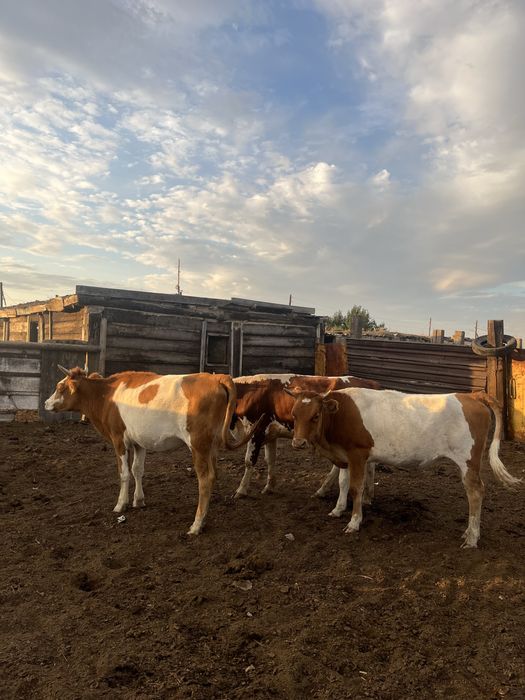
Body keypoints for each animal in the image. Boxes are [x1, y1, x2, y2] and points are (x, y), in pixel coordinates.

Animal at [45, 367, 260, 535]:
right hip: (212, 445)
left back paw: (196, 525)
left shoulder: (118, 439)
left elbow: (124, 473)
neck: (106, 394)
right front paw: (138, 500)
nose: (46, 403)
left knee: (205, 478)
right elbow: (137, 470)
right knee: (213, 475)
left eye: (60, 387)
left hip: (198, 444)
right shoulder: (139, 442)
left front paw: (120, 504)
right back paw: (204, 519)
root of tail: (216, 377)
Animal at [232, 374, 380, 505]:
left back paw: (324, 491)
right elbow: (270, 460)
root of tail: (369, 383)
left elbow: (249, 461)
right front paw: (269, 486)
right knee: (369, 464)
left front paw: (241, 490)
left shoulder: (256, 431)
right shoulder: (270, 433)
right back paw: (367, 496)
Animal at [287, 387, 521, 547]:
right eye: (294, 414)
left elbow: (356, 488)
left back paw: (472, 537)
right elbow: (343, 483)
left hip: (468, 460)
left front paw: (354, 522)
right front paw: (337, 509)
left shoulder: (358, 454)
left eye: (315, 415)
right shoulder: (343, 455)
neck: (340, 414)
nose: (298, 443)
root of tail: (470, 396)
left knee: (475, 492)